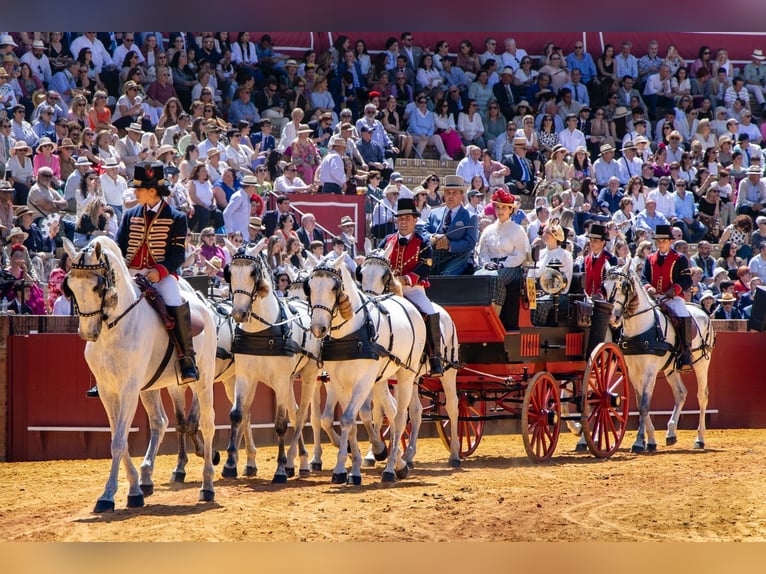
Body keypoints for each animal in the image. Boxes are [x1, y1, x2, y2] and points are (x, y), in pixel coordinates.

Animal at [63, 237, 219, 512]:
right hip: (150, 387)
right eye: (69, 286)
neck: (114, 327)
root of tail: (205, 306)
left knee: (208, 423)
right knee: (160, 421)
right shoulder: (108, 391)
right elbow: (120, 437)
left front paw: (108, 496)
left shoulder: (128, 389)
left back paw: (207, 486)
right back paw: (147, 479)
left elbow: (118, 441)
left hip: (204, 379)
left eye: (97, 286)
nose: (88, 333)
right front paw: (134, 490)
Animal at [228, 241, 324, 484]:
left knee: (301, 415)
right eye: (229, 272)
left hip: (308, 376)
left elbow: (281, 423)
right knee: (294, 410)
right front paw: (230, 465)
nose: (239, 313)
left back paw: (299, 463)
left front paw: (280, 470)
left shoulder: (280, 380)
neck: (261, 329)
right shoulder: (245, 377)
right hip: (288, 381)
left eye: (253, 273)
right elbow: (237, 415)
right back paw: (297, 462)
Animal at [306, 256, 426, 486]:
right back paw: (397, 462)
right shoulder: (339, 382)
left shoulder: (363, 382)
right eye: (310, 286)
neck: (349, 333)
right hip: (381, 380)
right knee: (392, 411)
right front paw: (350, 469)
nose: (318, 328)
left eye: (334, 287)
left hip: (407, 376)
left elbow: (347, 419)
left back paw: (391, 468)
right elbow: (351, 421)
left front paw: (345, 468)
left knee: (402, 417)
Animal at [360, 248, 462, 468]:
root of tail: (445, 314)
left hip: (449, 372)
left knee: (452, 407)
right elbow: (379, 413)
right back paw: (409, 454)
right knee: (416, 411)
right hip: (414, 377)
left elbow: (396, 412)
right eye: (361, 273)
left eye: (384, 276)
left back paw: (455, 454)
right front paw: (374, 453)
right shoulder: (383, 378)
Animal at [604, 258, 716, 452]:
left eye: (623, 286)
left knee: (702, 396)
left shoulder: (649, 371)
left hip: (702, 364)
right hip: (671, 369)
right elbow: (640, 402)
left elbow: (644, 404)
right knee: (681, 393)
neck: (640, 327)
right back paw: (671, 432)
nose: (613, 317)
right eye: (604, 286)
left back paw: (699, 439)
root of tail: (703, 312)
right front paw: (649, 440)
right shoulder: (633, 371)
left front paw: (638, 442)